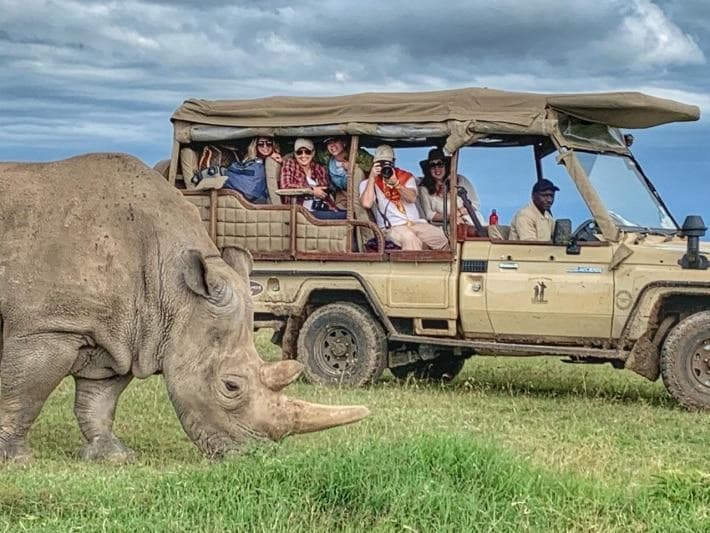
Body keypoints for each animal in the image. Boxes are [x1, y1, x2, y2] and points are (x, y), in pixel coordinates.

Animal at [0, 153, 368, 462]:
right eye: (230, 386)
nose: (253, 454)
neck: (176, 290)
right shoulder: (48, 327)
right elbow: (23, 394)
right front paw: (16, 460)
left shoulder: (125, 334)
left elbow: (98, 401)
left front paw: (114, 456)